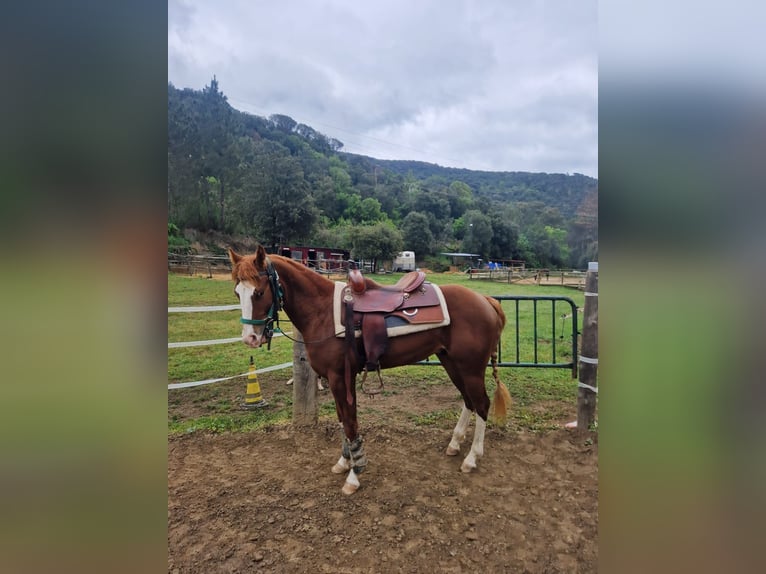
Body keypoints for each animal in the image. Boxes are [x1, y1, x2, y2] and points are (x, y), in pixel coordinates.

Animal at [231, 245, 512, 498]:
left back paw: (472, 458)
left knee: (482, 404)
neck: (322, 311)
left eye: (258, 292)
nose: (250, 339)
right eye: (237, 293)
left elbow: (350, 422)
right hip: (452, 363)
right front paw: (345, 462)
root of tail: (486, 300)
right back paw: (454, 444)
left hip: (471, 367)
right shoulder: (340, 379)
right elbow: (343, 419)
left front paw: (354, 474)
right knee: (468, 401)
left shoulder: (339, 377)